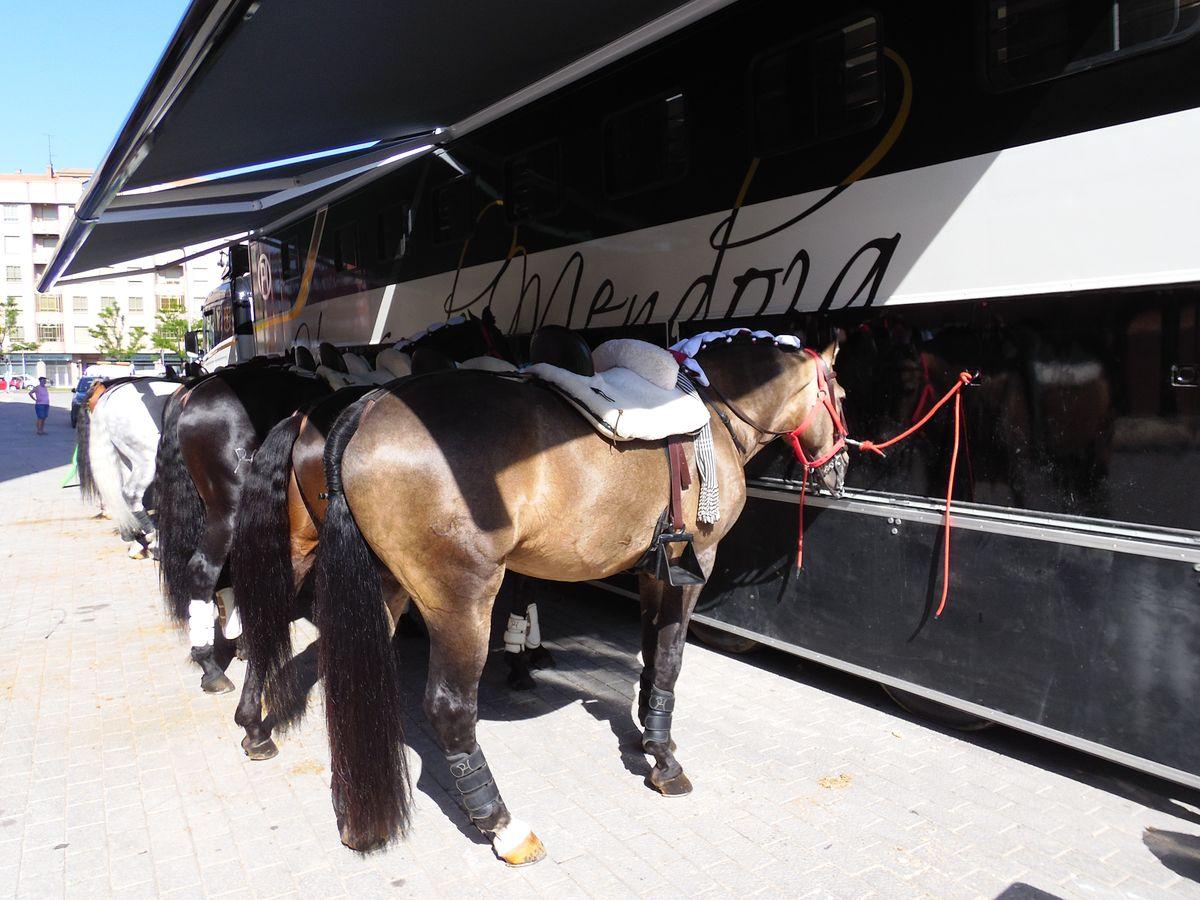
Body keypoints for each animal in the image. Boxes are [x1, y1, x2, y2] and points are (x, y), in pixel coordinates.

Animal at [295, 333, 849, 868]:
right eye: (841, 396)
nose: (840, 469)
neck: (713, 410)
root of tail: (367, 409)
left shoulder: (652, 570)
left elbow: (651, 655)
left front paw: (650, 732)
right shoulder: (696, 565)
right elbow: (670, 659)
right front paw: (665, 759)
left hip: (385, 590)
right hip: (462, 603)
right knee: (449, 708)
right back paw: (503, 825)